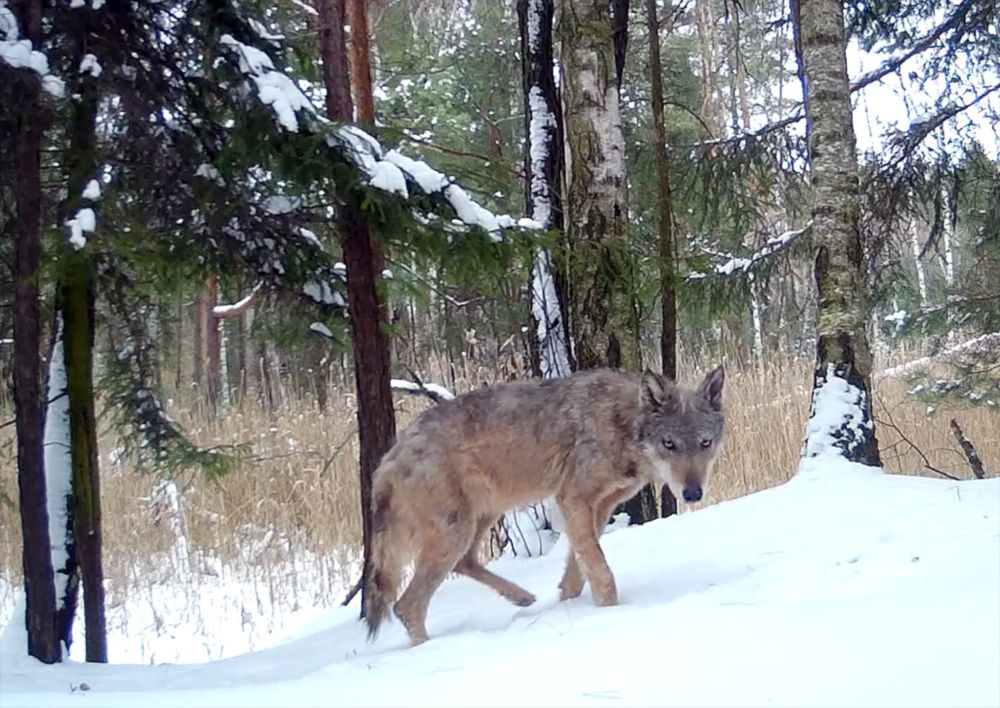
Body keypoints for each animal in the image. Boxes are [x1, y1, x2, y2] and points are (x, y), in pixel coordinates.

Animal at [364, 366, 724, 648]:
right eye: (669, 444)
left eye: (704, 443)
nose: (693, 493)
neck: (621, 424)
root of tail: (388, 459)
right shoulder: (573, 499)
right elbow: (600, 571)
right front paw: (612, 612)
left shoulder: (601, 506)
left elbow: (578, 569)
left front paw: (571, 604)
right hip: (456, 530)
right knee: (406, 606)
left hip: (481, 518)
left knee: (463, 564)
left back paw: (520, 596)